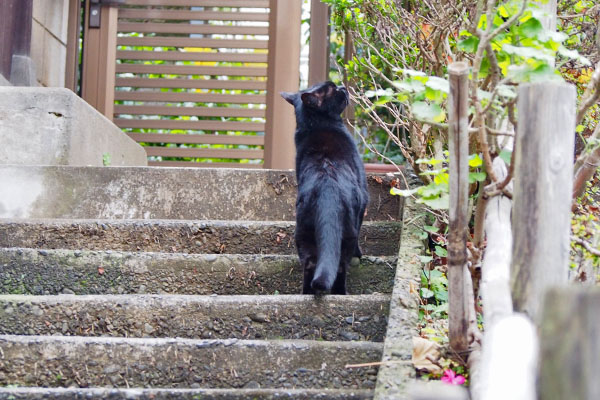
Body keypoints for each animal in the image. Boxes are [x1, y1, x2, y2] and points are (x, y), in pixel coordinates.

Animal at [282, 80, 370, 294]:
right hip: (346, 235)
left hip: (303, 234)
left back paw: (306, 293)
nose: (343, 87)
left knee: (310, 265)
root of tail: (327, 189)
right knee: (340, 266)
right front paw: (360, 254)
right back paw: (341, 293)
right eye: (333, 89)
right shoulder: (364, 197)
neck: (316, 125)